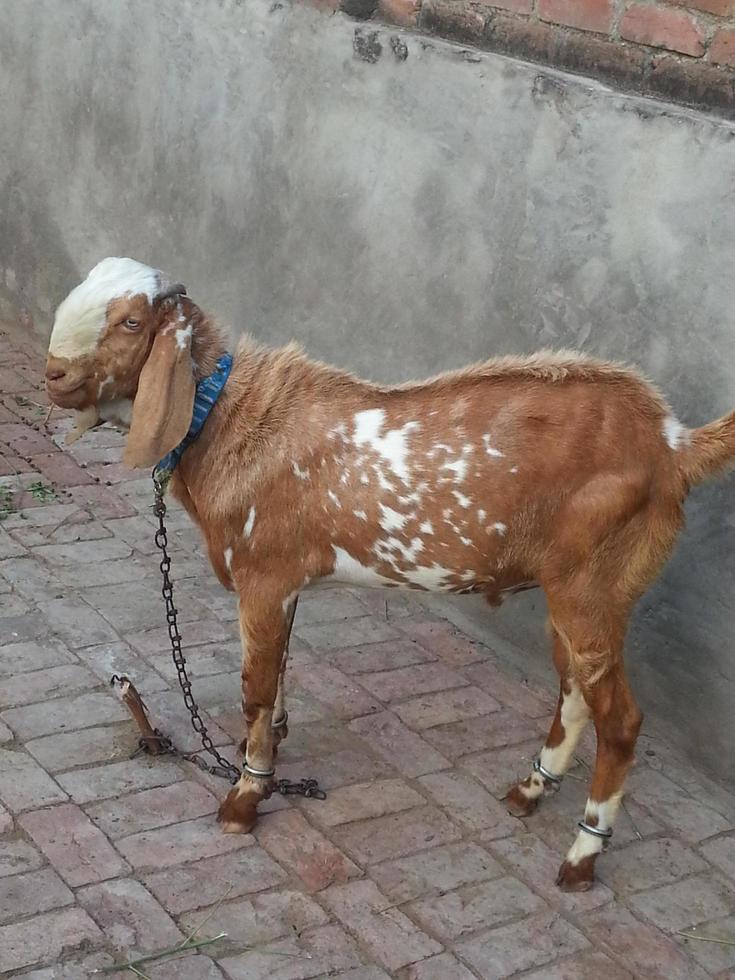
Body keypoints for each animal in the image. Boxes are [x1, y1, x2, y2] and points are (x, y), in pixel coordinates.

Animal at [43, 256, 735, 892]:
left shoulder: (262, 577)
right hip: (573, 593)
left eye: (132, 322)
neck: (232, 420)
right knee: (574, 692)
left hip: (595, 588)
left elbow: (255, 690)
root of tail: (674, 445)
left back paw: (582, 856)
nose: (53, 374)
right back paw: (530, 790)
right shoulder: (285, 584)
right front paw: (265, 756)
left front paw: (244, 798)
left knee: (621, 719)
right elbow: (280, 673)